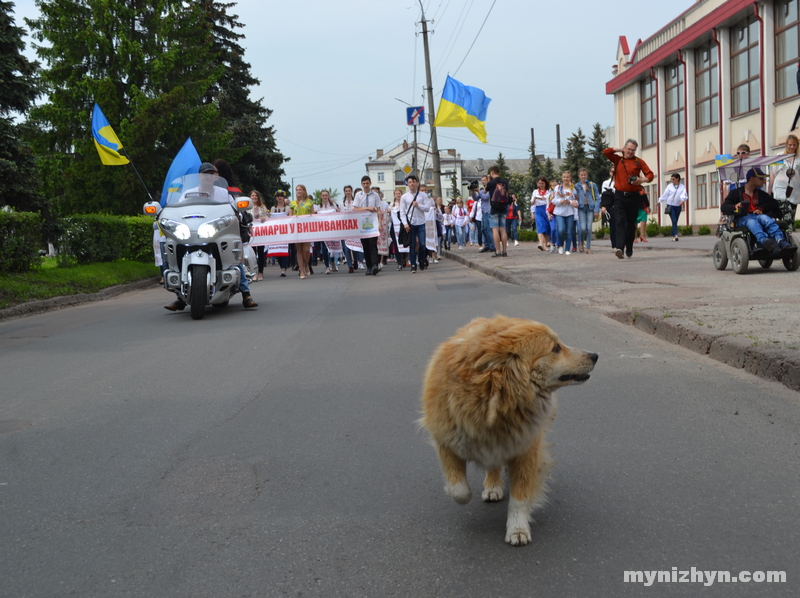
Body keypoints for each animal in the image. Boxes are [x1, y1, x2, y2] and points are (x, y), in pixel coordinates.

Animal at [422, 318, 596, 548]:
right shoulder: (446, 441)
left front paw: (517, 528)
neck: (492, 400)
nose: (595, 355)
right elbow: (459, 491)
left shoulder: (527, 448)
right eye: (555, 348)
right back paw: (493, 485)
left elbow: (519, 497)